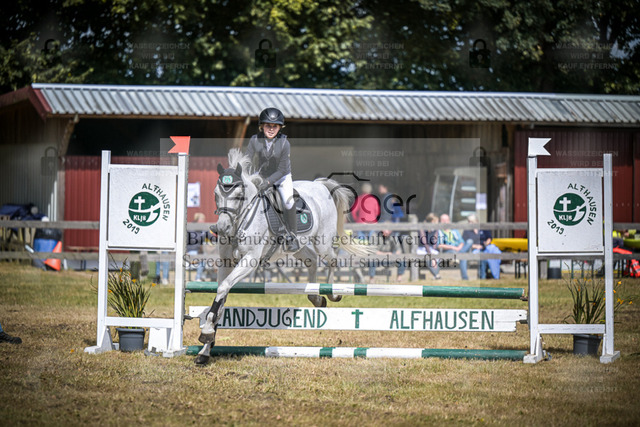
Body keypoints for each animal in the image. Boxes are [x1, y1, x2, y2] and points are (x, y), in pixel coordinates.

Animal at [195, 149, 368, 365]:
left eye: (239, 195)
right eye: (216, 194)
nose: (221, 228)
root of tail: (319, 185)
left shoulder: (249, 261)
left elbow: (224, 288)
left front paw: (207, 333)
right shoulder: (226, 264)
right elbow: (221, 297)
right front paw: (205, 346)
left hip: (323, 243)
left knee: (332, 259)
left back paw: (331, 293)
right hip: (299, 247)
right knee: (312, 261)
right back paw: (316, 297)